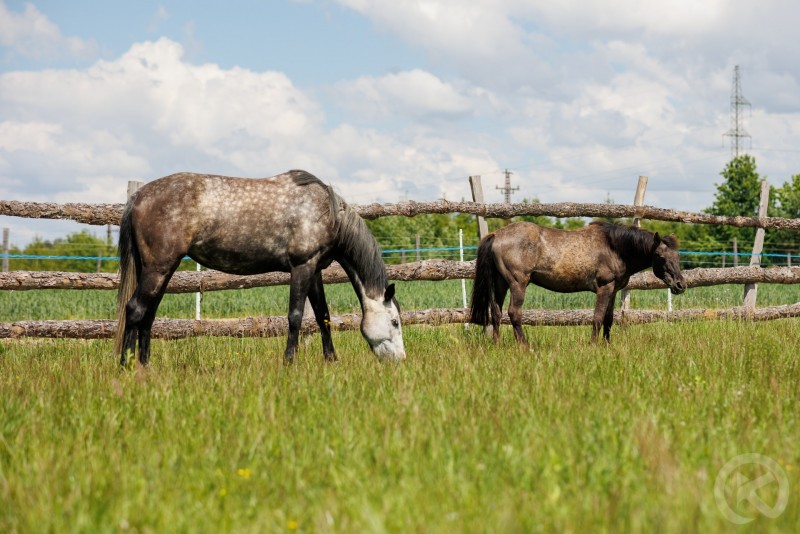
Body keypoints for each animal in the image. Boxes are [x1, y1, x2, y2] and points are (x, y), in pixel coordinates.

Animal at [112, 170, 406, 366]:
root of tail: (138, 196)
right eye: (394, 321)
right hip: (158, 268)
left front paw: (331, 360)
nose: (400, 360)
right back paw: (126, 367)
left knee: (149, 315)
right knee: (135, 310)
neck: (326, 212)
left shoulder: (314, 270)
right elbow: (295, 316)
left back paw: (145, 366)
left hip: (162, 269)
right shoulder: (302, 267)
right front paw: (289, 362)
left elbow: (323, 315)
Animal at [468, 222, 688, 348]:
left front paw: (607, 345)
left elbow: (609, 319)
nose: (680, 285)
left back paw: (497, 345)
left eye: (677, 256)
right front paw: (593, 346)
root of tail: (496, 235)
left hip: (501, 283)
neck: (614, 248)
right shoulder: (604, 288)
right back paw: (525, 346)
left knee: (496, 313)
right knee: (514, 313)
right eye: (661, 257)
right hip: (517, 283)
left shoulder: (613, 291)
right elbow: (597, 318)